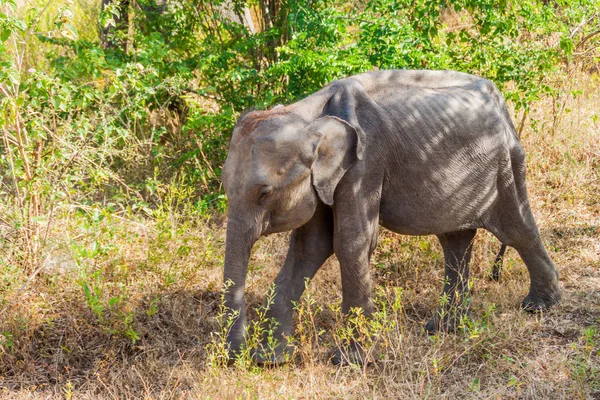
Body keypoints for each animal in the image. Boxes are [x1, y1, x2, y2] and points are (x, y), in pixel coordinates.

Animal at [220, 69, 564, 366]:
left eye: (264, 193)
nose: (236, 357)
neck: (308, 112)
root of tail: (500, 100)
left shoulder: (366, 162)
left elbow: (351, 242)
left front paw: (351, 362)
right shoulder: (327, 178)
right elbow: (312, 246)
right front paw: (270, 360)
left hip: (507, 163)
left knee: (516, 229)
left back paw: (538, 306)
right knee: (454, 240)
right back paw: (443, 327)